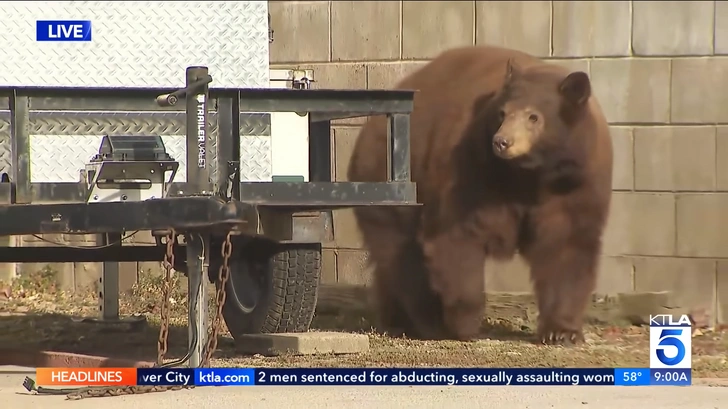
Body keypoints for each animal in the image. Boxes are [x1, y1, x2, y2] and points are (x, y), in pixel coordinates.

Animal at [347, 45, 613, 345]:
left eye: (533, 116)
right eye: (502, 113)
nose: (501, 142)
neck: (531, 172)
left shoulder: (574, 184)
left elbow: (567, 245)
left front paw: (562, 331)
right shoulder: (473, 167)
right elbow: (458, 234)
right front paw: (466, 323)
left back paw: (399, 319)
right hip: (389, 184)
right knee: (402, 255)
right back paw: (425, 321)